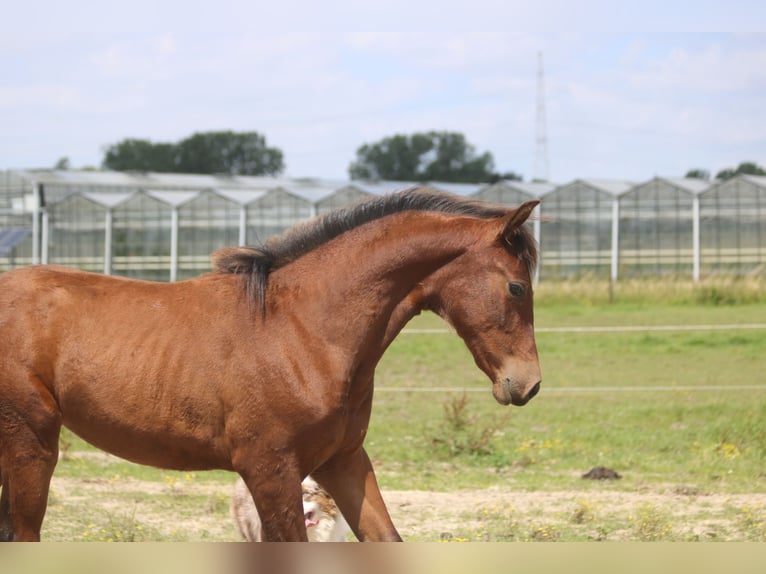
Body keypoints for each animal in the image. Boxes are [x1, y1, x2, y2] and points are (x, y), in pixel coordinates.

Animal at [0, 187, 540, 544]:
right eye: (517, 286)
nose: (528, 384)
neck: (302, 331)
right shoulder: (271, 472)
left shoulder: (342, 460)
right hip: (31, 445)